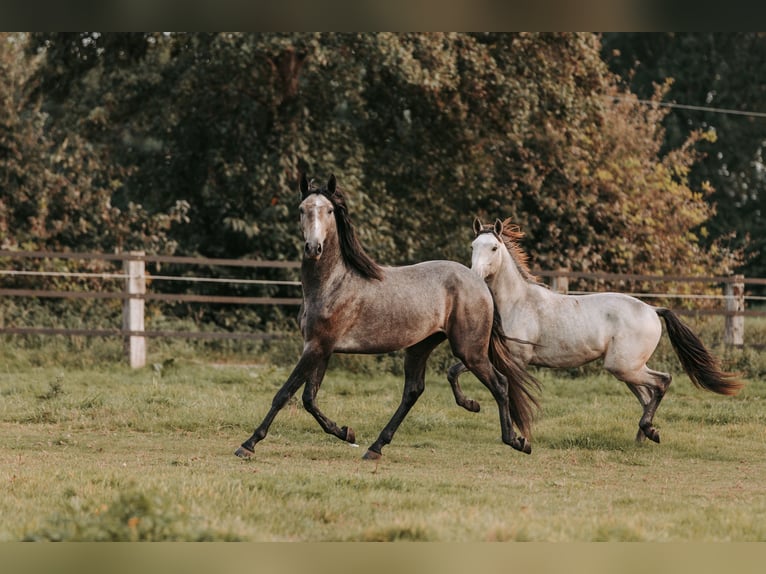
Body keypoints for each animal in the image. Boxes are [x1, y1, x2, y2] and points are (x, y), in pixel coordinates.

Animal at [234, 176, 540, 464]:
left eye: (330, 210)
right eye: (302, 209)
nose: (313, 248)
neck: (332, 283)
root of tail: (478, 282)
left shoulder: (317, 347)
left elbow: (284, 394)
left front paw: (248, 444)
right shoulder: (322, 347)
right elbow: (309, 398)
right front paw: (346, 432)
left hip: (470, 350)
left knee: (500, 383)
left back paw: (516, 440)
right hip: (420, 346)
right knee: (413, 391)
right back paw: (376, 447)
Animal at [450, 217, 744, 446]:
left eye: (494, 247)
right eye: (473, 246)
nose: (473, 276)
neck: (518, 302)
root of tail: (652, 309)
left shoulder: (516, 359)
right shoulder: (489, 356)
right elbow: (454, 371)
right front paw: (472, 405)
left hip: (623, 366)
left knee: (662, 382)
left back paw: (648, 431)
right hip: (629, 368)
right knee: (647, 395)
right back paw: (643, 436)